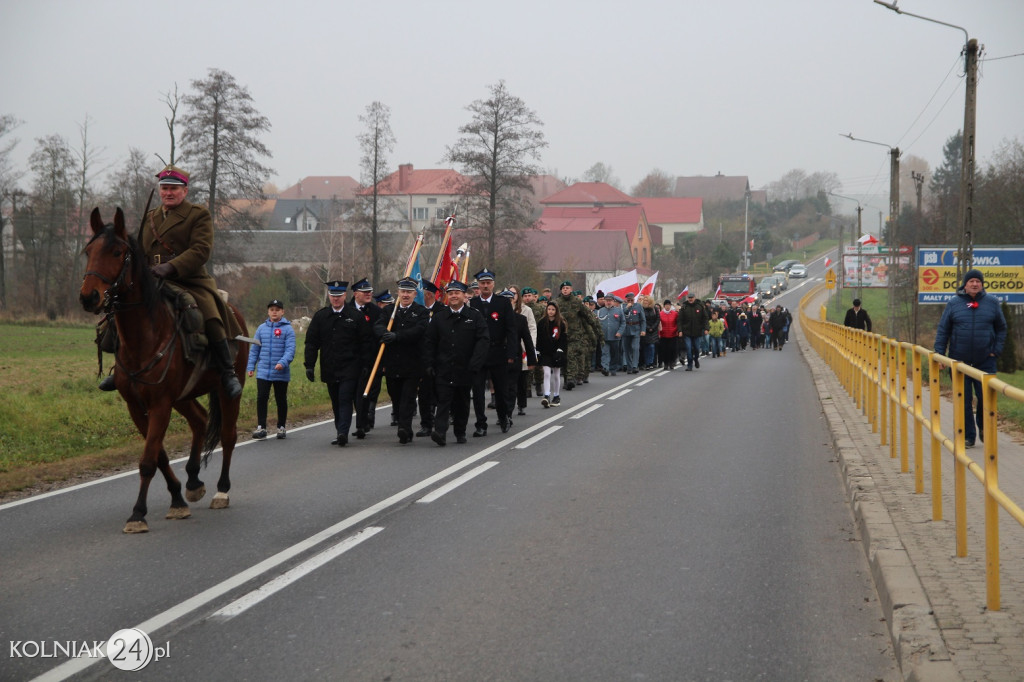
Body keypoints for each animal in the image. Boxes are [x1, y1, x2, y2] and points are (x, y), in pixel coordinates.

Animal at [80, 205, 247, 532]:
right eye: (88, 251)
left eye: (117, 252)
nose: (88, 296)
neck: (145, 336)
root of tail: (234, 312)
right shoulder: (137, 406)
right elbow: (157, 456)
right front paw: (177, 500)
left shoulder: (159, 405)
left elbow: (148, 460)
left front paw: (138, 514)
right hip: (183, 397)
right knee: (200, 420)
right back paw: (193, 480)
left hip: (224, 391)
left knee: (228, 435)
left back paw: (221, 491)